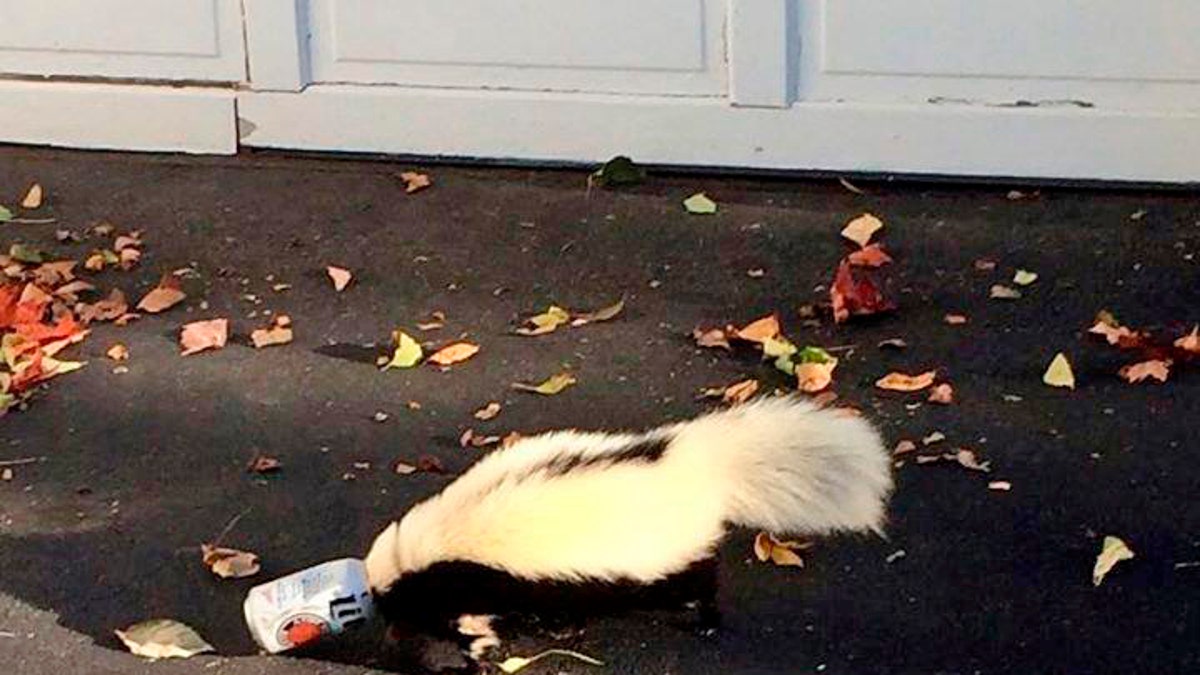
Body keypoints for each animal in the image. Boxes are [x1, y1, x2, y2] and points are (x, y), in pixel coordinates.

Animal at [364, 396, 892, 643]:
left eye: (389, 599)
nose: (387, 625)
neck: (422, 546)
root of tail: (693, 461)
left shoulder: (478, 575)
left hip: (669, 556)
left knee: (698, 578)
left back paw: (706, 619)